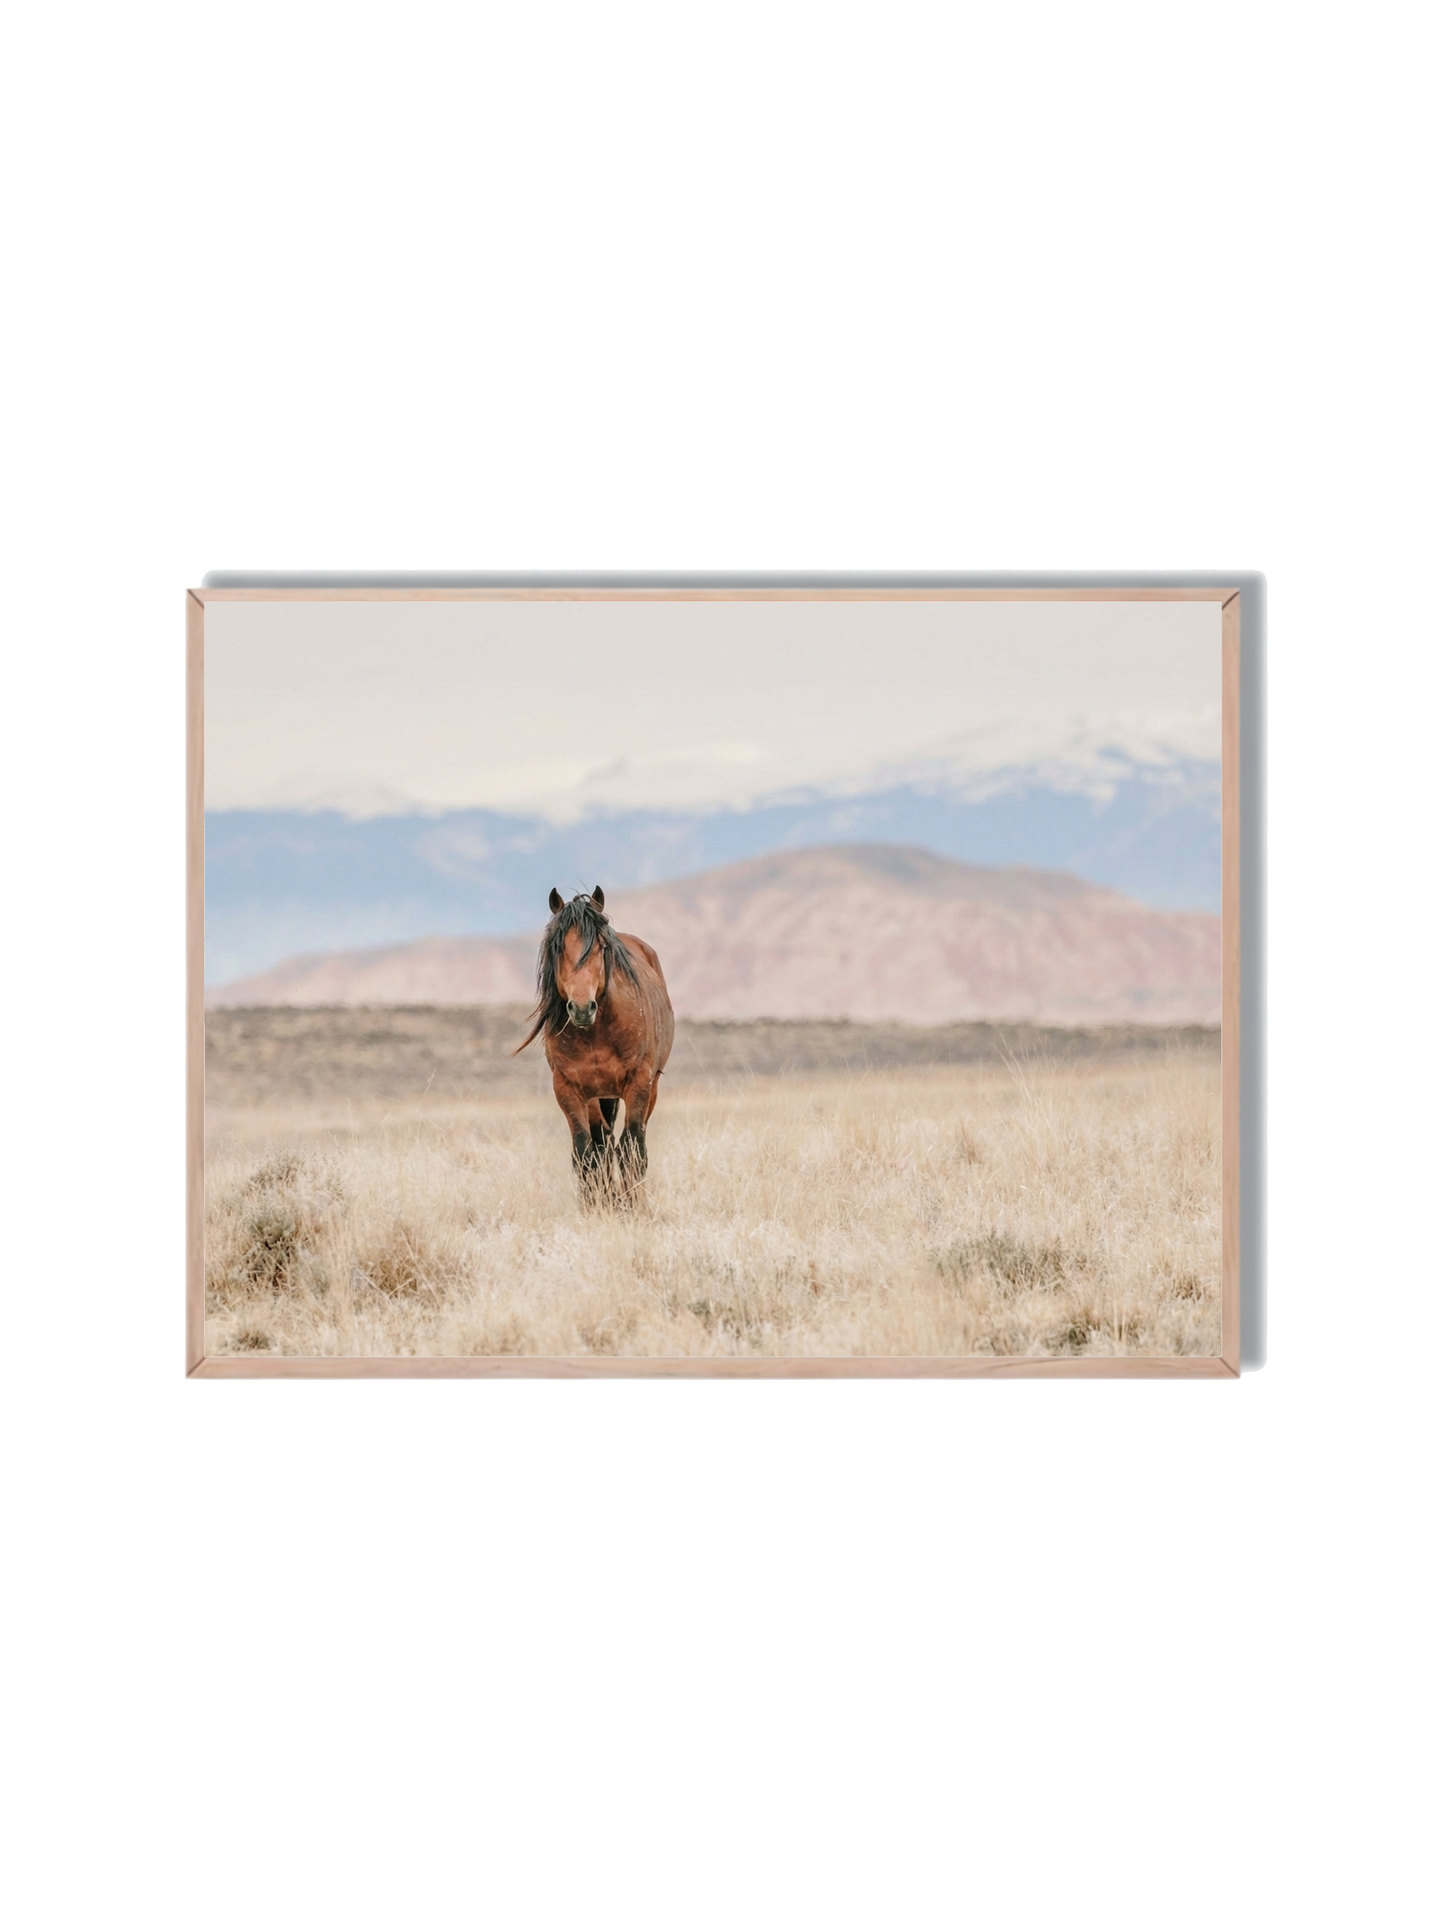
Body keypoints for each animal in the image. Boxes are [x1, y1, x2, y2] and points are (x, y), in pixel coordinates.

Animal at [517, 886, 675, 1199]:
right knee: (601, 1145)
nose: (581, 1008)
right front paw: (596, 1203)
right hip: (600, 1096)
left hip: (649, 1088)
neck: (596, 1034)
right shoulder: (568, 1088)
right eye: (558, 947)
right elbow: (585, 1153)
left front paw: (632, 1203)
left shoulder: (639, 1082)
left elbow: (633, 1149)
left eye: (601, 947)